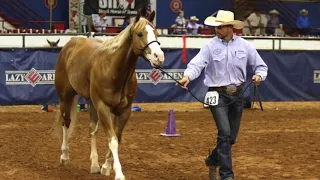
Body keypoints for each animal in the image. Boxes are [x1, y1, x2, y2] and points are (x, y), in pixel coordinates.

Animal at [53, 10, 164, 179]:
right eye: (140, 34)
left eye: (156, 32)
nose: (159, 57)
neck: (113, 69)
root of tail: (70, 44)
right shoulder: (103, 107)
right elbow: (112, 140)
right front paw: (118, 173)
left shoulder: (124, 111)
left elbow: (117, 137)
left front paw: (105, 166)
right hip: (65, 97)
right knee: (66, 123)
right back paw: (64, 156)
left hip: (91, 103)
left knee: (92, 129)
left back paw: (94, 164)